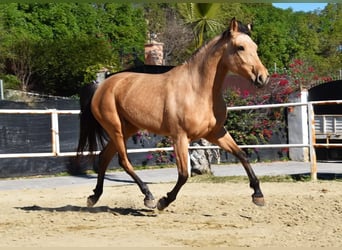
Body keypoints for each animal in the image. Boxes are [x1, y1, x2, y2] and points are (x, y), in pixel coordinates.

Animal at [77, 17, 270, 210]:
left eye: (255, 47)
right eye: (240, 47)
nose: (263, 77)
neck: (197, 90)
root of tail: (102, 86)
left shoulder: (216, 133)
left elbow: (242, 155)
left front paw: (258, 195)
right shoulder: (179, 137)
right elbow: (184, 174)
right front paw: (164, 201)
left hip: (127, 129)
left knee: (104, 157)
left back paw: (94, 197)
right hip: (115, 128)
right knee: (123, 161)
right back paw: (148, 196)